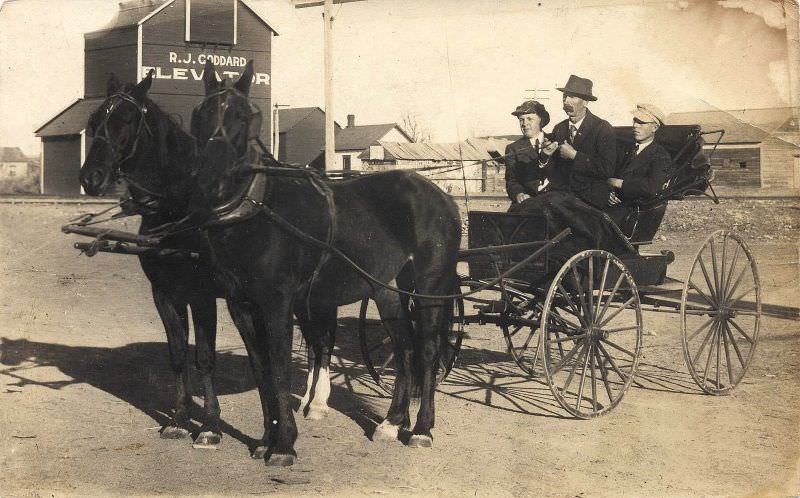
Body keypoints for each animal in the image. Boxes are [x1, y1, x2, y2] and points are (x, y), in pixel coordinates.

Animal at [79, 63, 462, 466]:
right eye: (95, 119)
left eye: (125, 119)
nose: (91, 177)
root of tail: (438, 194)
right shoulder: (210, 299)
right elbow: (239, 363)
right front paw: (255, 436)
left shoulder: (242, 299)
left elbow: (258, 364)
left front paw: (270, 441)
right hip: (384, 288)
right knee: (403, 348)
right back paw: (390, 422)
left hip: (430, 287)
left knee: (427, 351)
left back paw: (420, 429)